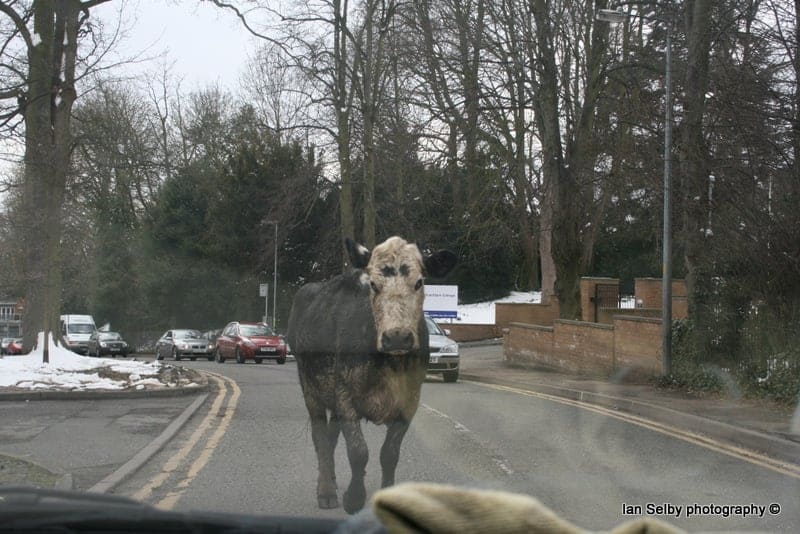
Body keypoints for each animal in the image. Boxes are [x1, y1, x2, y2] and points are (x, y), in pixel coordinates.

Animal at [287, 236, 457, 514]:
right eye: (374, 285)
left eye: (419, 282)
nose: (397, 337)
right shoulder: (345, 392)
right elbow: (358, 451)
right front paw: (354, 498)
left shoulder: (410, 400)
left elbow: (389, 454)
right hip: (310, 387)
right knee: (320, 437)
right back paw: (326, 491)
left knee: (331, 437)